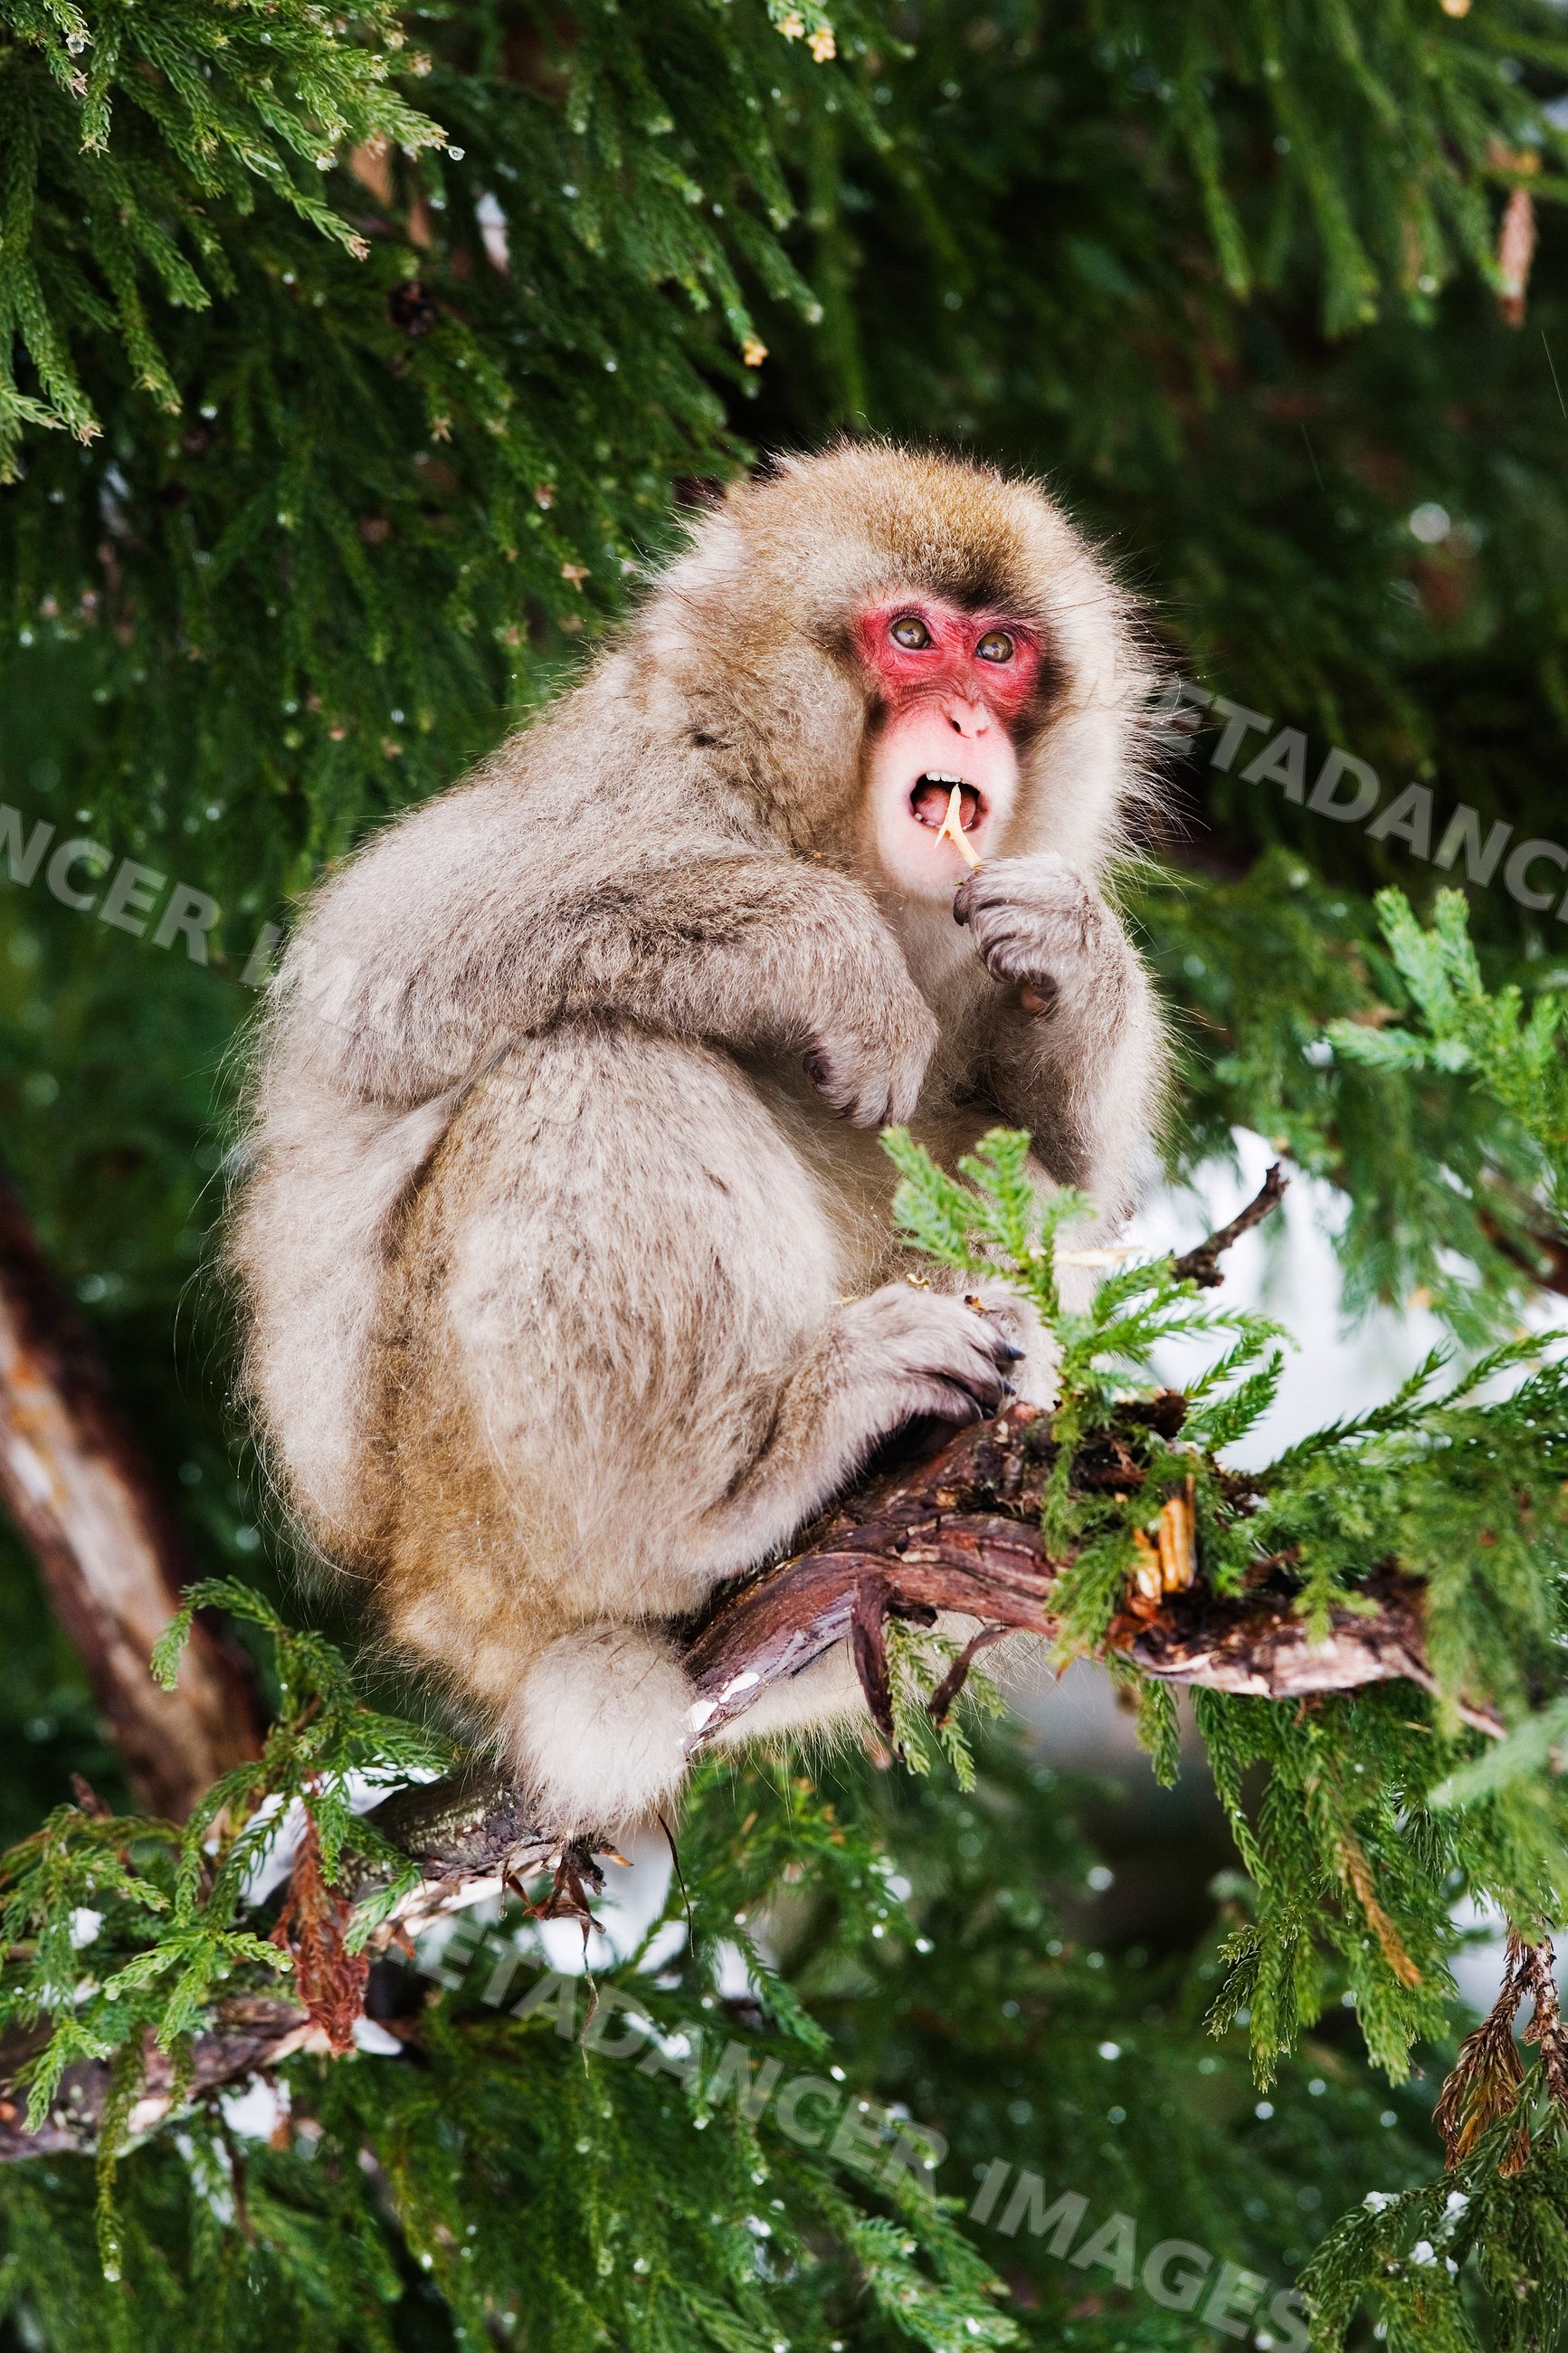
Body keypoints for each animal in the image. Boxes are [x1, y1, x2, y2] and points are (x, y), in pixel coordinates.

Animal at [231, 443, 1165, 1837]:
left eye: (998, 651)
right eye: (910, 636)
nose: (964, 722)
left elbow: (1040, 1196)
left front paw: (1081, 960)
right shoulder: (644, 779)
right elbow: (387, 972)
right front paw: (825, 953)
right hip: (468, 1501)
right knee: (597, 1057)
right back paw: (737, 1483)